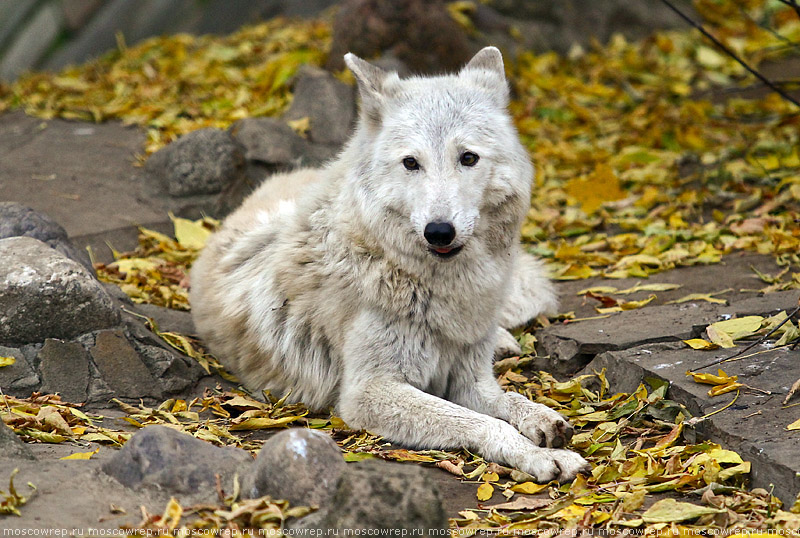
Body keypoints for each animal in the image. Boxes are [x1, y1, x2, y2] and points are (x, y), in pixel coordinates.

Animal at [188, 47, 588, 482]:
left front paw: (543, 418)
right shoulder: (367, 392)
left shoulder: (469, 381)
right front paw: (540, 456)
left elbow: (508, 398)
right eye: (411, 163)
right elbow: (483, 422)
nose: (439, 231)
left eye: (468, 158)